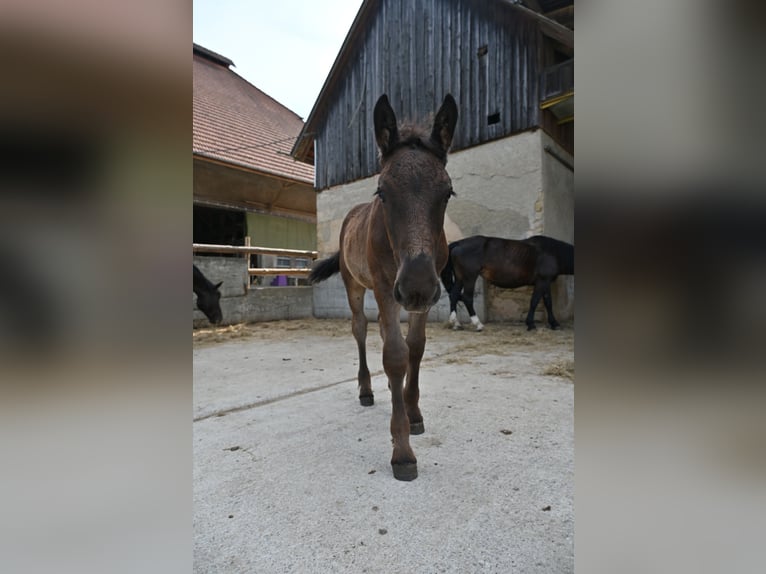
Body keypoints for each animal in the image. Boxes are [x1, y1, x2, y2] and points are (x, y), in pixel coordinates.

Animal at [309, 93, 458, 481]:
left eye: (447, 193)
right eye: (383, 192)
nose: (417, 284)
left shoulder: (422, 294)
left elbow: (415, 348)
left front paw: (413, 412)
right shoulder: (386, 287)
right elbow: (394, 355)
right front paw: (402, 452)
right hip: (358, 286)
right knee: (361, 329)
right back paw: (366, 389)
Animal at [441, 235, 574, 331]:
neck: (553, 252)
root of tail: (459, 243)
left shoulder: (545, 282)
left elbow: (548, 302)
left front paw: (554, 324)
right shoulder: (542, 281)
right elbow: (534, 302)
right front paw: (531, 324)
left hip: (460, 278)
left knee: (454, 295)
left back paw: (456, 324)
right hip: (470, 278)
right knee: (467, 298)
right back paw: (478, 324)